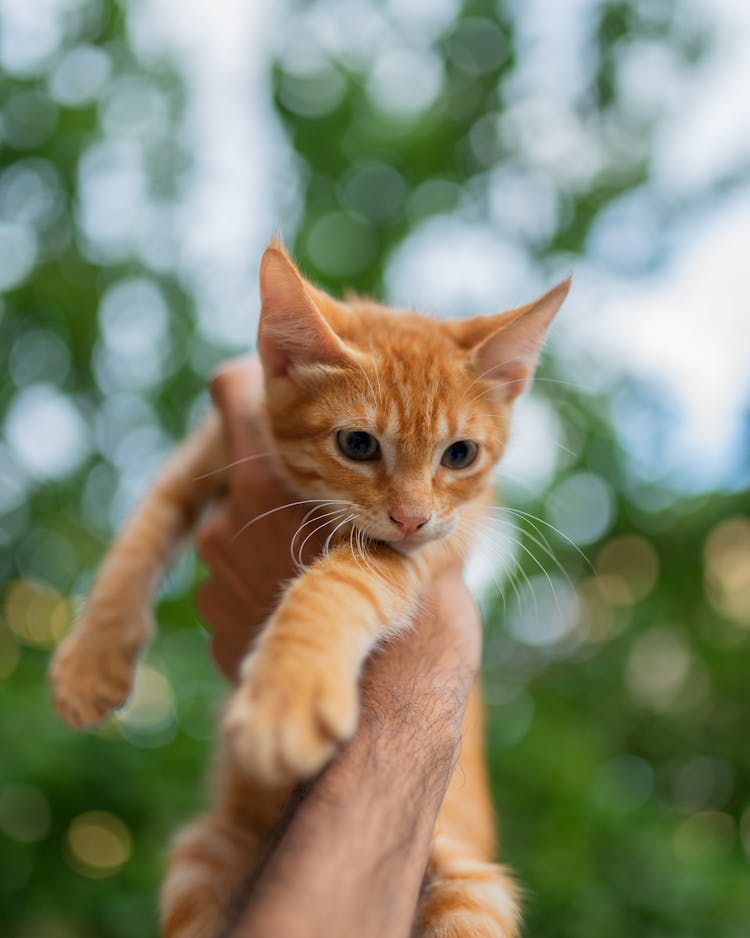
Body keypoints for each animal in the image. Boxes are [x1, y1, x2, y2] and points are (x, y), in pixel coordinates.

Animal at [50, 238, 572, 932]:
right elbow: (141, 534)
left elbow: (340, 582)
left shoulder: (430, 549)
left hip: (469, 887)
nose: (411, 518)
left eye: (459, 455)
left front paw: (286, 693)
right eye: (357, 443)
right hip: (203, 857)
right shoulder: (203, 454)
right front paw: (91, 663)